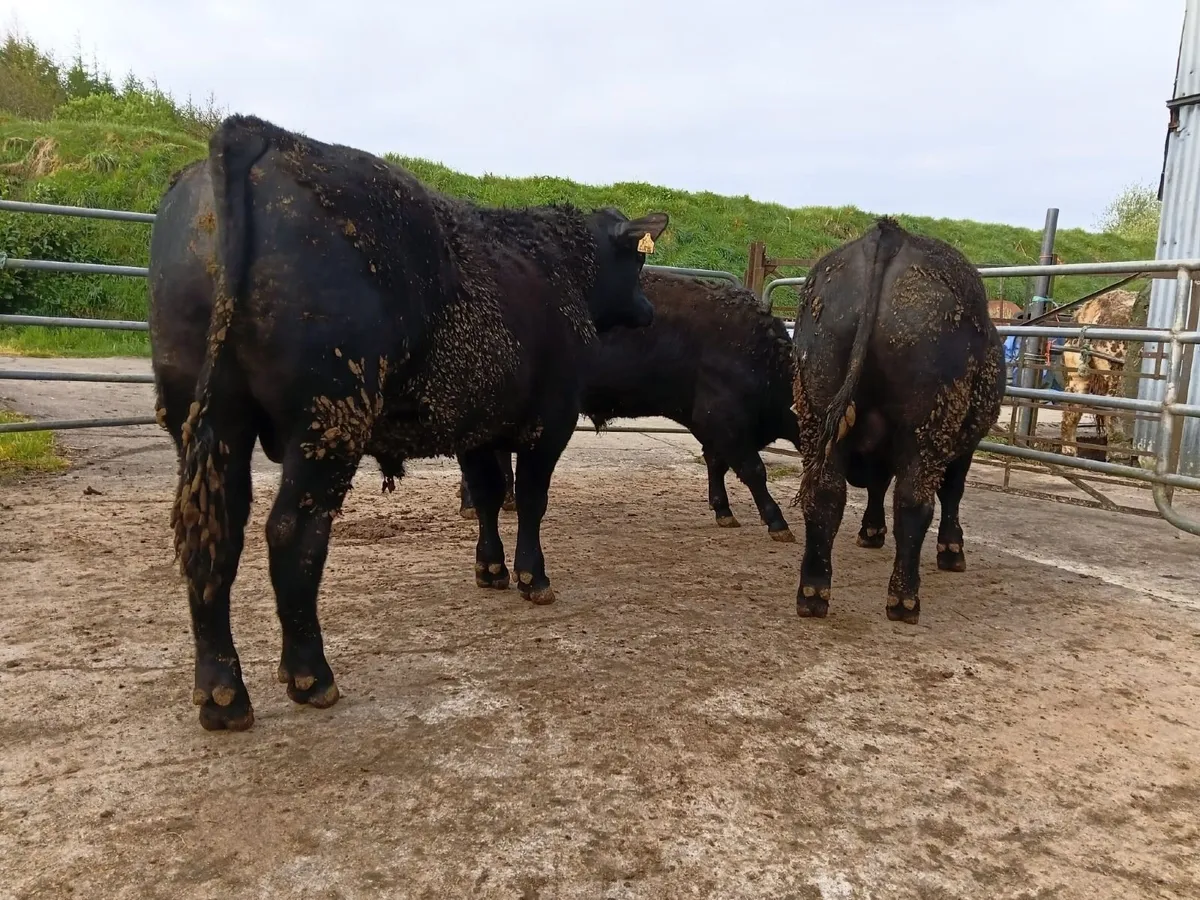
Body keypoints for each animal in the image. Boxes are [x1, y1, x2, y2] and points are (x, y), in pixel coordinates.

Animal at [148, 114, 669, 731]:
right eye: (638, 259)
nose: (649, 310)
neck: (561, 268)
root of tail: (259, 133)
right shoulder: (551, 420)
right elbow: (530, 499)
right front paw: (531, 577)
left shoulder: (477, 425)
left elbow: (488, 494)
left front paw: (490, 569)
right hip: (329, 417)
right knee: (293, 533)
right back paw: (310, 674)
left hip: (207, 418)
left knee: (213, 535)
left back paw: (222, 693)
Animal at [457, 271, 804, 540]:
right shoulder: (722, 418)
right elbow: (753, 469)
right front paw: (777, 521)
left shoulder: (711, 425)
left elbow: (717, 462)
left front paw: (723, 510)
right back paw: (472, 504)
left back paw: (504, 499)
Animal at [789, 217, 1005, 624]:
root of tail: (889, 235)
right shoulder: (962, 447)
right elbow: (952, 492)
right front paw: (952, 550)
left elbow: (876, 485)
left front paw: (871, 531)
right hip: (927, 428)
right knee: (914, 502)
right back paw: (904, 599)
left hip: (816, 411)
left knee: (824, 494)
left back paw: (813, 591)